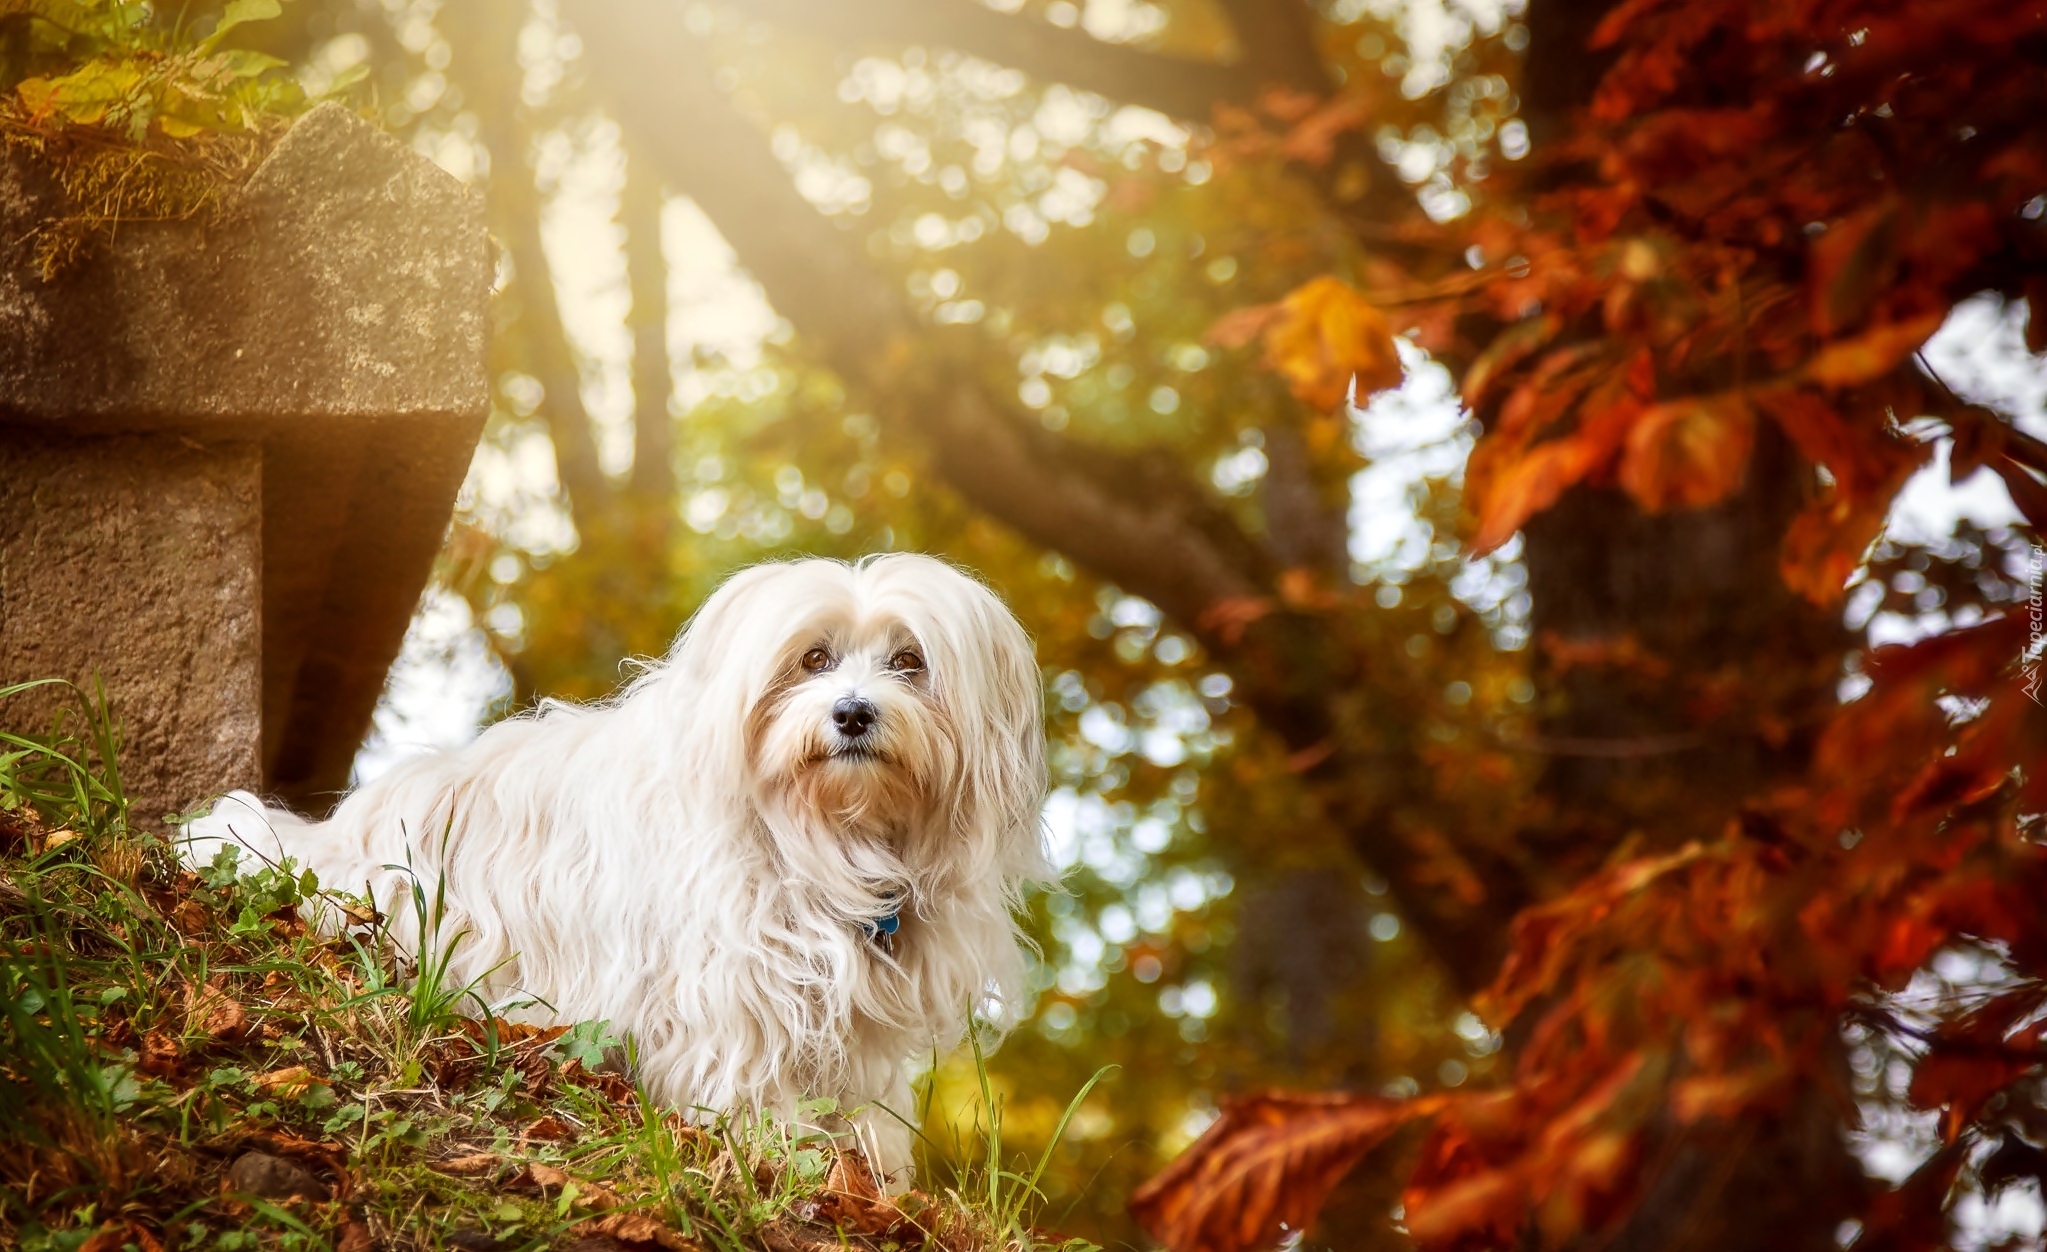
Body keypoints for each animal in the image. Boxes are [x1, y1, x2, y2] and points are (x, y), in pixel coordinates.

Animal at [180, 556, 1056, 1170]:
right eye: (812, 659)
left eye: (910, 662)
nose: (851, 712)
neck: (830, 838)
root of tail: (333, 838)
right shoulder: (733, 984)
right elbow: (749, 1073)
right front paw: (775, 1148)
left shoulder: (858, 1018)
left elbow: (860, 1090)